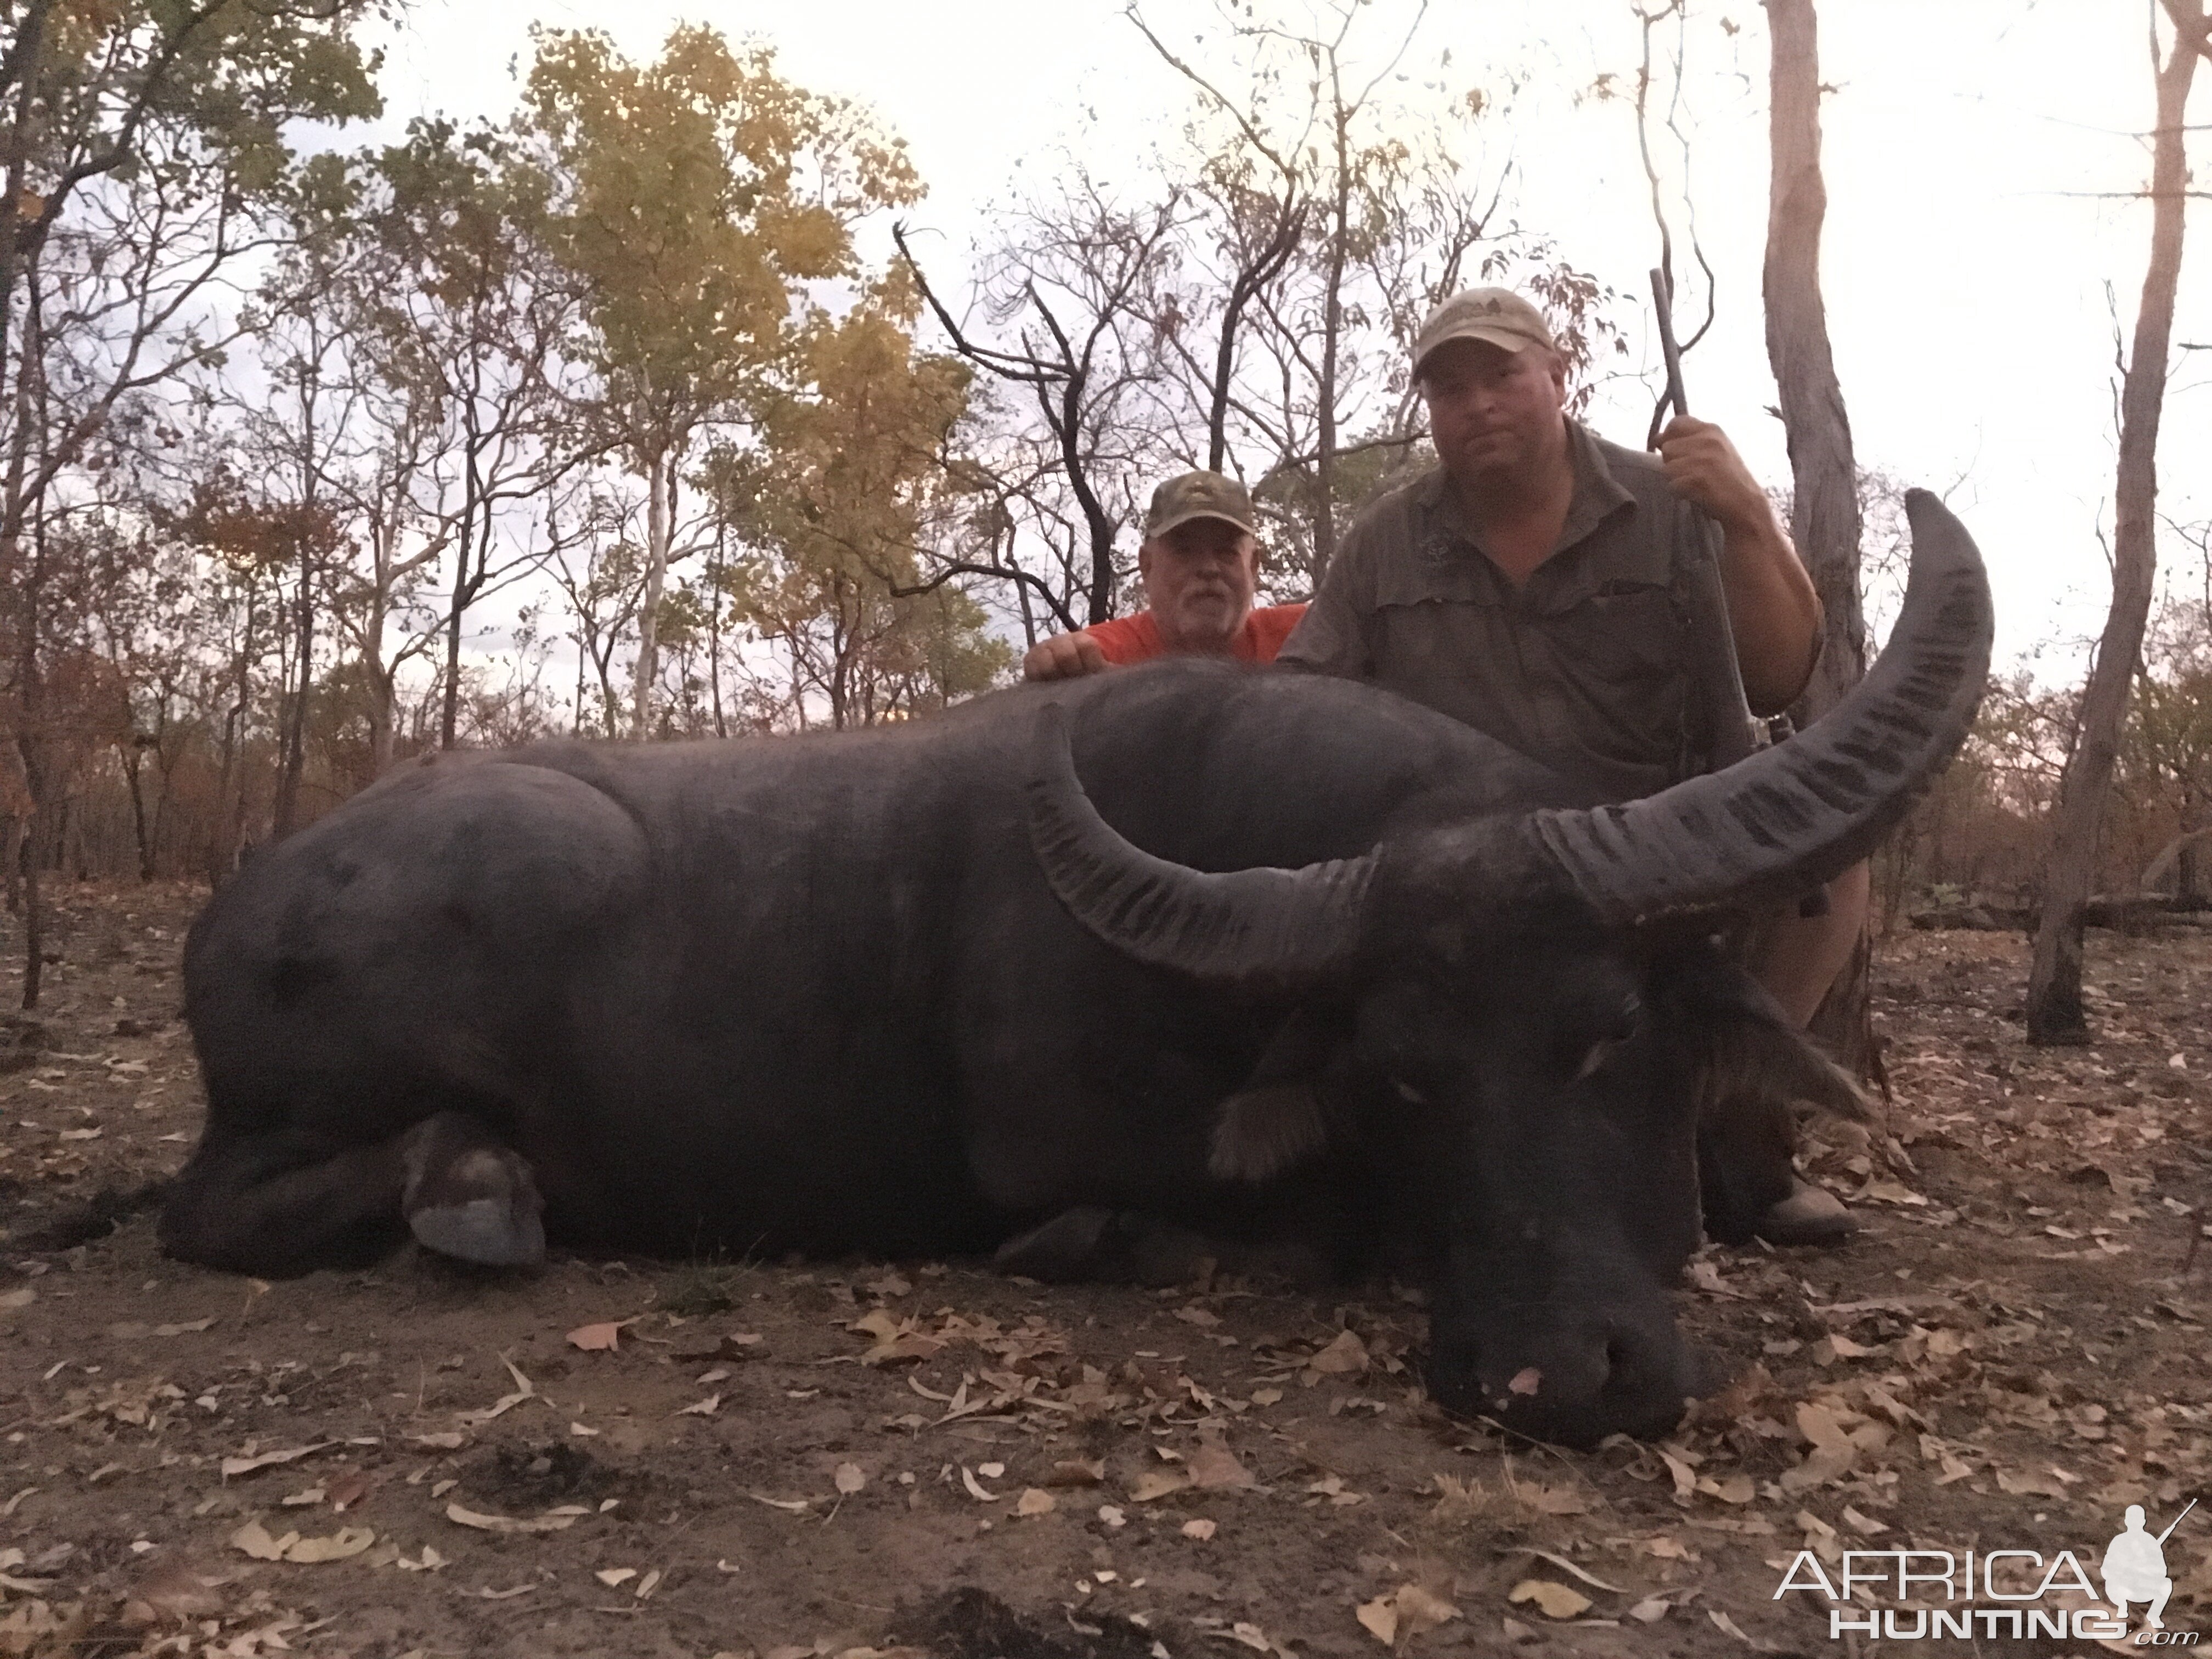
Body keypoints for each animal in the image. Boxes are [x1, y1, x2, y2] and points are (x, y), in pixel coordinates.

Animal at [156, 491, 1990, 1442]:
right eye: (1402, 1075)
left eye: (1611, 1037)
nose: (1562, 1381)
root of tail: (237, 910)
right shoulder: (1069, 1158)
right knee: (215, 1210)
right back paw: (478, 1194)